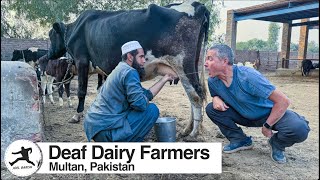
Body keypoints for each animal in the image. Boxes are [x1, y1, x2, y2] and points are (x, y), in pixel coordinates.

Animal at [45, 0, 210, 138]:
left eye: (51, 35)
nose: (50, 53)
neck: (74, 29)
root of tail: (198, 5)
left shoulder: (82, 61)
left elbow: (81, 91)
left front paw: (77, 115)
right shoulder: (101, 68)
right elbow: (100, 89)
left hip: (183, 64)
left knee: (196, 96)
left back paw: (193, 133)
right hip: (191, 65)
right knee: (194, 95)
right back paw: (187, 129)